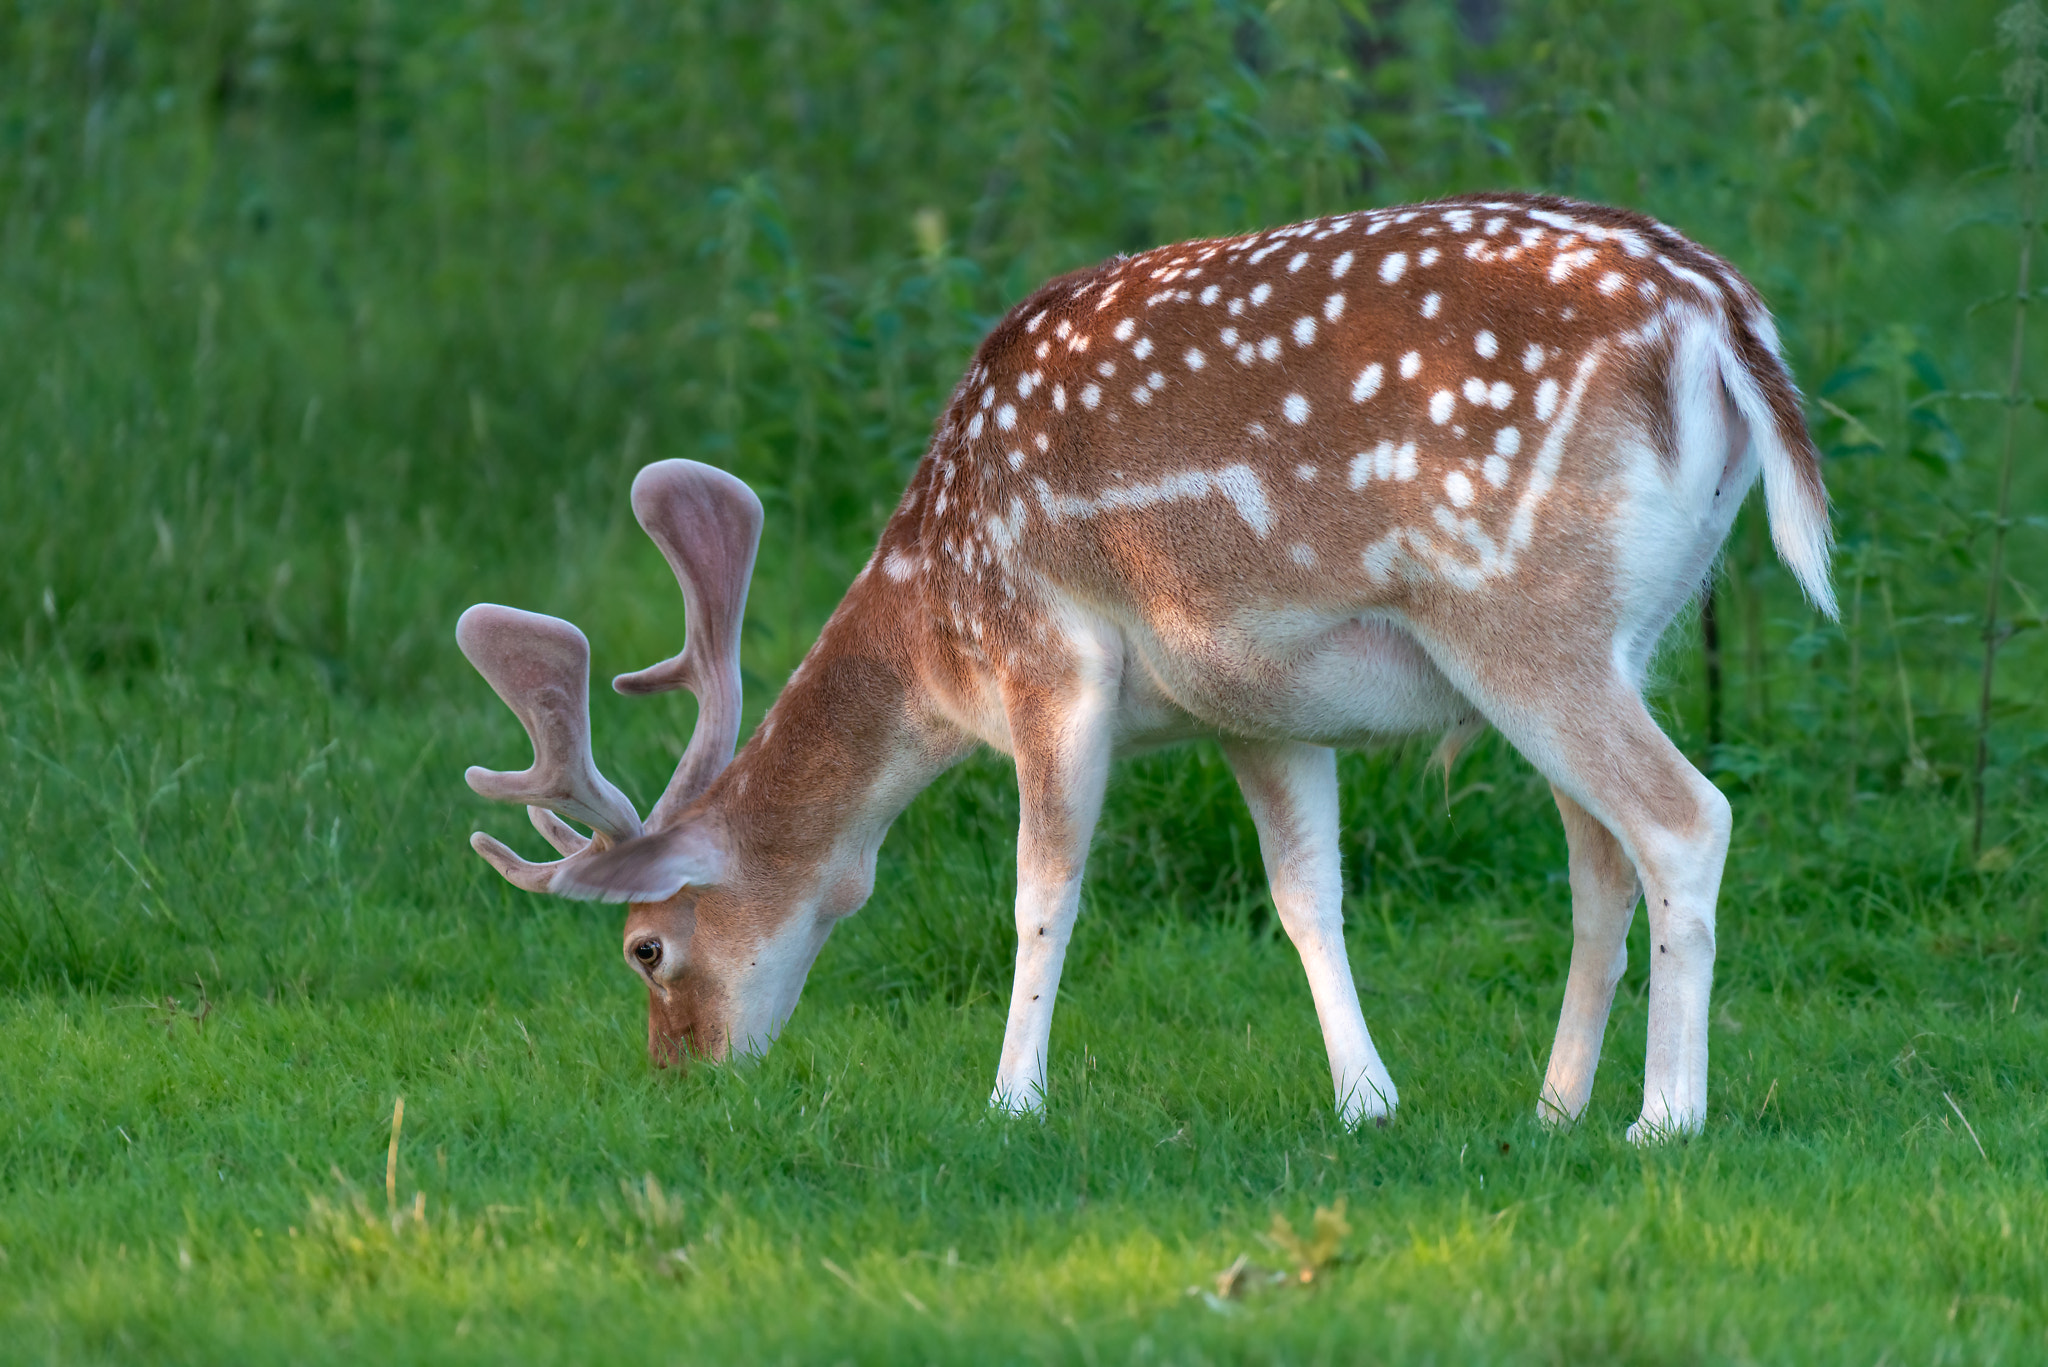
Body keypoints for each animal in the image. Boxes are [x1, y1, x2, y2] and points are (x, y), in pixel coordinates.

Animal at [460, 192, 1843, 1147]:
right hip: (1629, 631)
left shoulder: (1050, 652)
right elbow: (1306, 897)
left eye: (644, 949)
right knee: (1599, 855)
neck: (938, 616)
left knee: (1682, 818)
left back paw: (1661, 1118)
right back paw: (1551, 1106)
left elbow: (1042, 890)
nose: (679, 1073)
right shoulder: (1255, 707)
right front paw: (1366, 1097)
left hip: (1523, 613)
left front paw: (1011, 1098)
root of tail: (1722, 320)